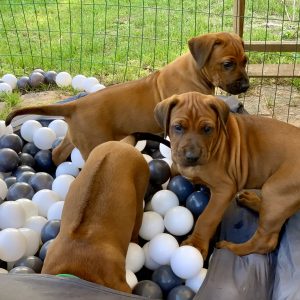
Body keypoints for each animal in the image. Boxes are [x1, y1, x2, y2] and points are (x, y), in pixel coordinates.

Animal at [6, 31, 248, 165]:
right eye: (228, 64)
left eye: (245, 61)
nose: (246, 86)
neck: (196, 71)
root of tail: (75, 104)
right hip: (93, 143)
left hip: (74, 137)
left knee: (57, 152)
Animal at [155, 91, 300, 260]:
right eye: (178, 127)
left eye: (207, 129)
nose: (192, 157)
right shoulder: (177, 166)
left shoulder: (224, 189)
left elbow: (207, 217)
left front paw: (195, 245)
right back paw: (252, 201)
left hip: (276, 190)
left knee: (265, 241)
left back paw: (231, 248)